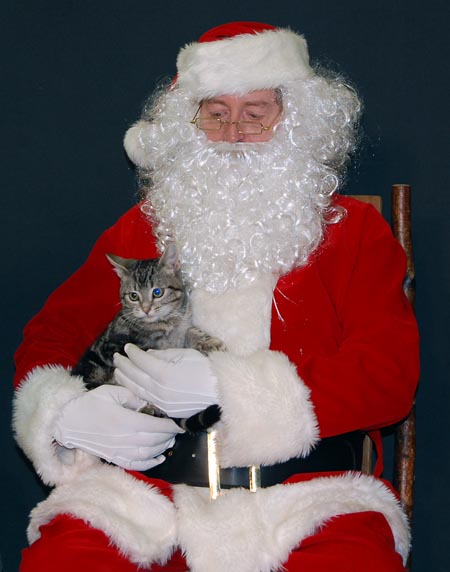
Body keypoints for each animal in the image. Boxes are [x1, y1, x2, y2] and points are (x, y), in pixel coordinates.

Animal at [71, 244, 223, 432]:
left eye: (157, 292)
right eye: (133, 296)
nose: (145, 309)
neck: (167, 324)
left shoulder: (182, 327)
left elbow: (190, 332)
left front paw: (208, 342)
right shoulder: (116, 345)